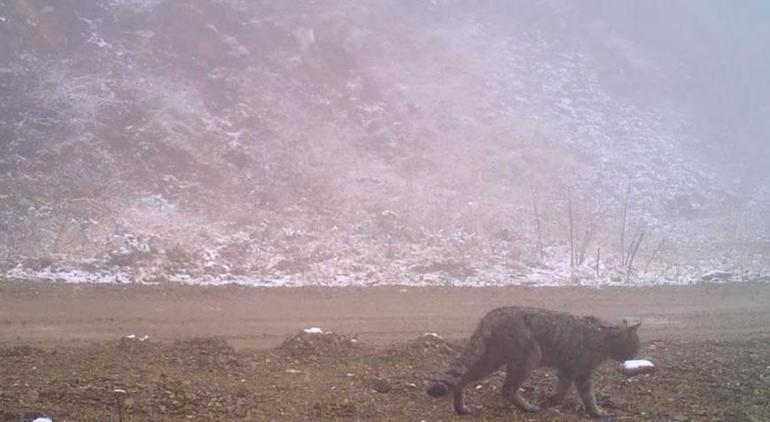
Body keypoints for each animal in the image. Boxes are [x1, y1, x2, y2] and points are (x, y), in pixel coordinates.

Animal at [426, 306, 640, 418]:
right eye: (636, 343)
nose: (637, 353)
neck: (605, 336)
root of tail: (496, 312)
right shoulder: (582, 372)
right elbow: (588, 396)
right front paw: (597, 412)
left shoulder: (567, 369)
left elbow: (562, 389)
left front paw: (554, 400)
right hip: (528, 358)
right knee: (507, 389)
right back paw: (527, 406)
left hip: (492, 358)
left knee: (463, 380)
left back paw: (460, 407)